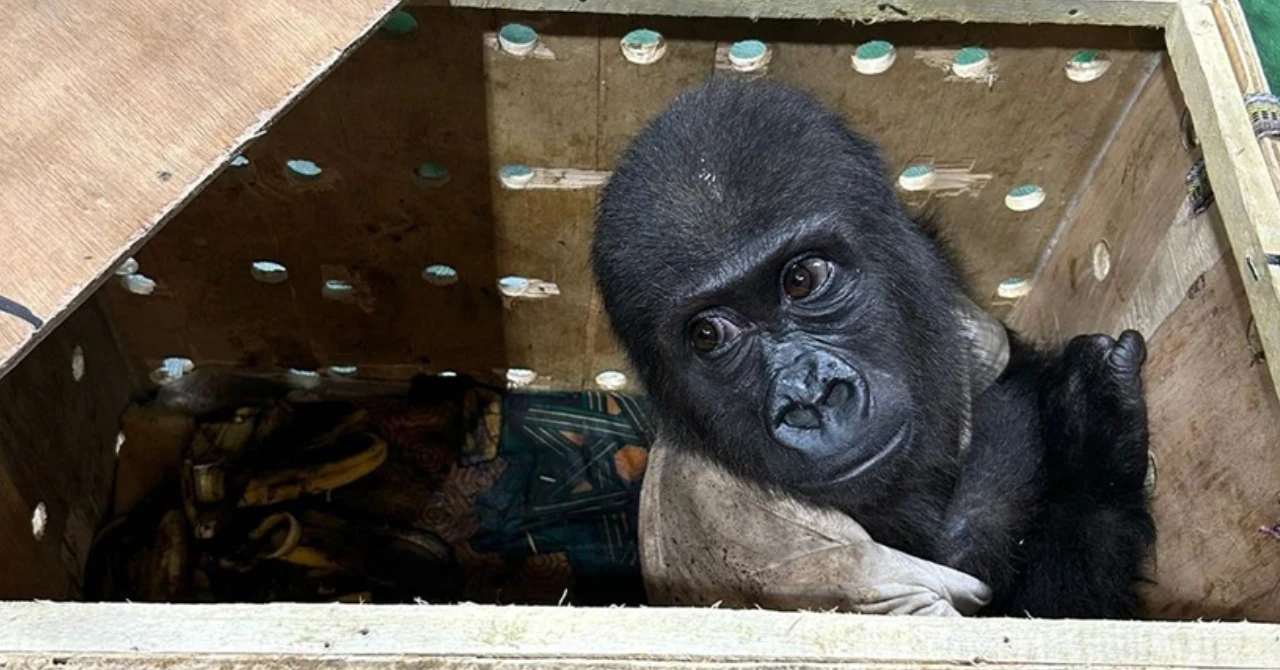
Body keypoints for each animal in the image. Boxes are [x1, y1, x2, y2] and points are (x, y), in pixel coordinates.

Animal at [593, 77, 1157, 620]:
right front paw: (1094, 449)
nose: (810, 396)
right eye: (709, 334)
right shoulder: (801, 554)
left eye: (802, 279)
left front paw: (1089, 425)